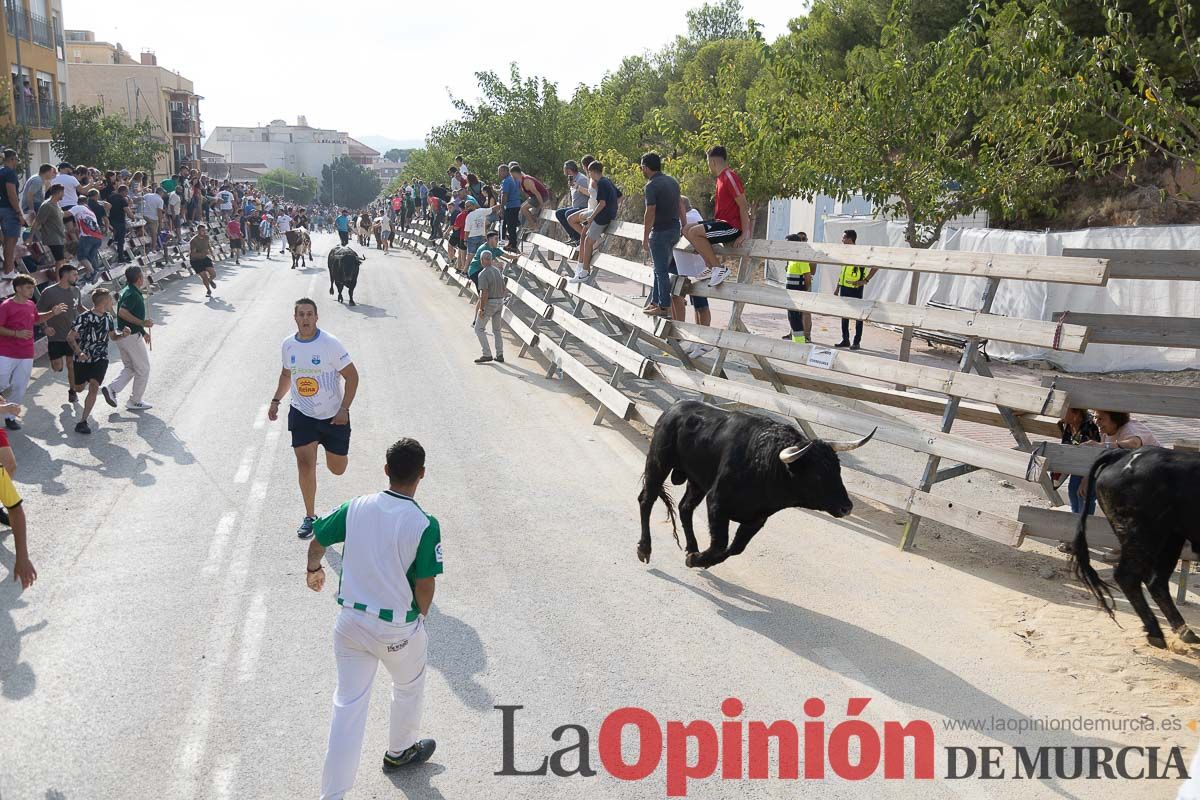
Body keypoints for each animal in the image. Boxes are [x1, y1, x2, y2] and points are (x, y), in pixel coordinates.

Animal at [633, 400, 878, 568]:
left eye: (838, 470)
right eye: (818, 475)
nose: (847, 507)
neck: (766, 464)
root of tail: (675, 407)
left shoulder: (757, 519)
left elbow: (734, 549)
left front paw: (698, 558)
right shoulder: (717, 502)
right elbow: (720, 544)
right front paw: (697, 559)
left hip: (696, 481)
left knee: (685, 507)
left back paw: (691, 547)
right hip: (658, 463)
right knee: (647, 500)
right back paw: (645, 549)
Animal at [1070, 448, 1200, 652]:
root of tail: (1123, 453)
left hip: (1171, 538)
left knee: (1156, 582)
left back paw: (1184, 631)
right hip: (1144, 535)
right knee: (1128, 576)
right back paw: (1156, 633)